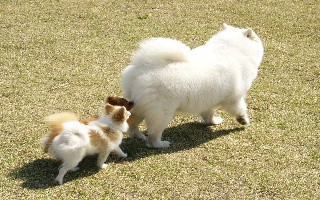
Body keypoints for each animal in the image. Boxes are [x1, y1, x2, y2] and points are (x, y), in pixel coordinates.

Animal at [121, 23, 264, 148]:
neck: (232, 50)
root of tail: (143, 68)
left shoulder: (208, 100)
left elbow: (208, 114)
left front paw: (213, 121)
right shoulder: (234, 98)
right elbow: (240, 109)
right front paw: (243, 120)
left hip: (139, 106)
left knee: (132, 125)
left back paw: (139, 136)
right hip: (162, 112)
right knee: (153, 135)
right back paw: (161, 144)